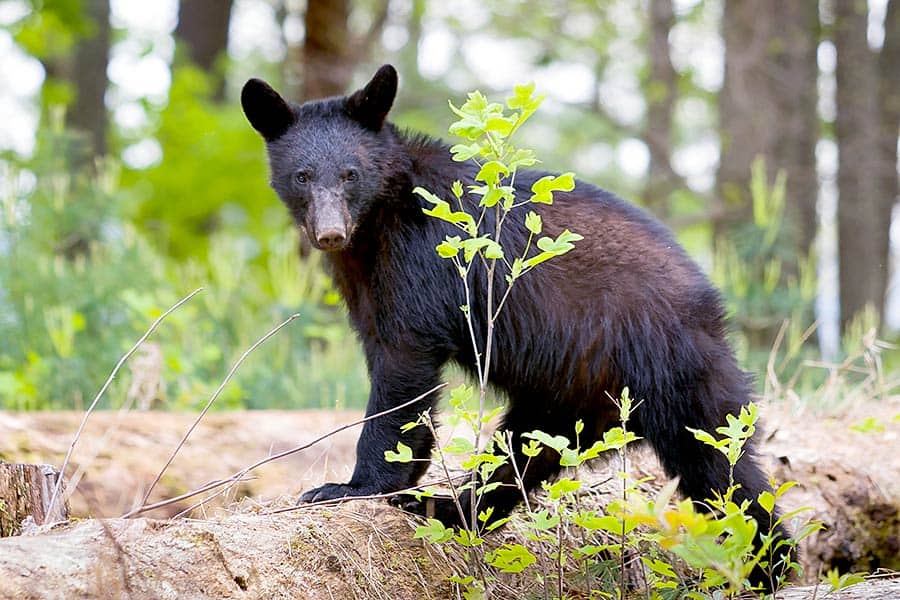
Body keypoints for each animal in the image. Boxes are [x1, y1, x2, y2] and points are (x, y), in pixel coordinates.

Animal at [243, 63, 792, 588]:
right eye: (302, 176)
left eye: (350, 173)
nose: (330, 234)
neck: (377, 224)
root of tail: (710, 305)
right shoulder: (365, 285)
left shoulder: (421, 261)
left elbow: (403, 370)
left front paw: (351, 485)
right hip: (567, 394)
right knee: (523, 452)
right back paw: (452, 509)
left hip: (670, 365)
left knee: (720, 463)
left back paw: (770, 565)